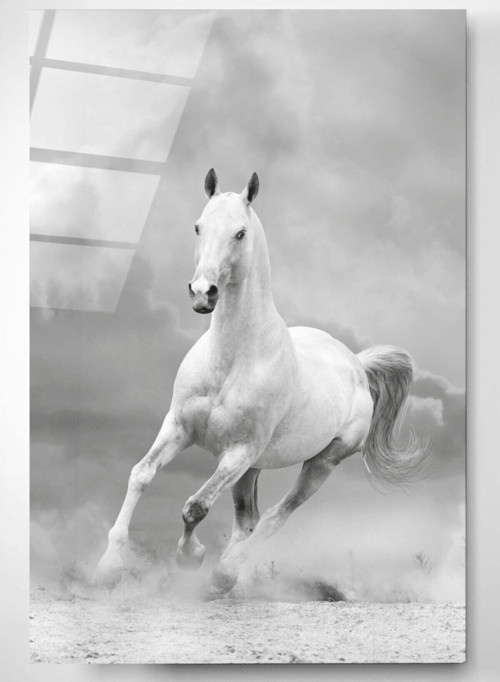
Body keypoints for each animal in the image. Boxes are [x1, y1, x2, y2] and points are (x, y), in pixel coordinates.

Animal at [93, 169, 426, 596]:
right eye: (198, 226)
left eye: (240, 233)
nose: (202, 293)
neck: (231, 361)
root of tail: (356, 363)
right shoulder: (179, 427)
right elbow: (142, 475)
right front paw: (108, 567)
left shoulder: (239, 451)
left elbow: (196, 506)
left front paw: (191, 558)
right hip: (252, 468)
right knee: (247, 520)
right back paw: (223, 578)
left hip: (319, 462)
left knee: (274, 516)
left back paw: (224, 573)